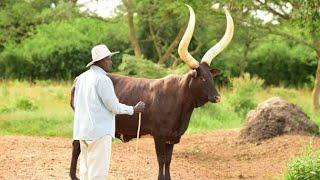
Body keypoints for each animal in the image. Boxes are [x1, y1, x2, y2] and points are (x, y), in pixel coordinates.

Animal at [69, 5, 234, 180]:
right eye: (202, 78)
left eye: (211, 77)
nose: (217, 97)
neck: (179, 98)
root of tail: (77, 79)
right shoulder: (159, 136)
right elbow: (161, 160)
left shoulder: (171, 138)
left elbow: (168, 160)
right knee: (77, 145)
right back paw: (73, 175)